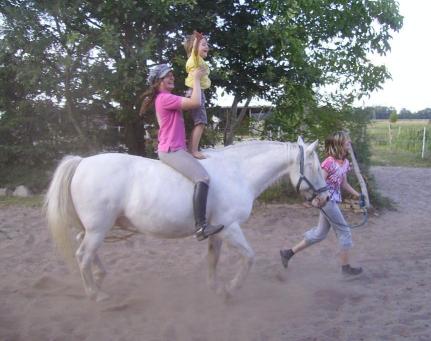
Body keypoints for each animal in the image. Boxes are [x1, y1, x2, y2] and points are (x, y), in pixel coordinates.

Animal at [44, 137, 328, 298]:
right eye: (315, 167)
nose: (325, 198)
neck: (237, 172)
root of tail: (83, 162)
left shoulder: (219, 230)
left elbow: (213, 259)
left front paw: (216, 288)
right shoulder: (230, 228)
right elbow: (249, 257)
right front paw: (231, 289)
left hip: (95, 228)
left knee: (85, 249)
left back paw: (100, 275)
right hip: (98, 228)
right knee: (83, 255)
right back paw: (96, 294)